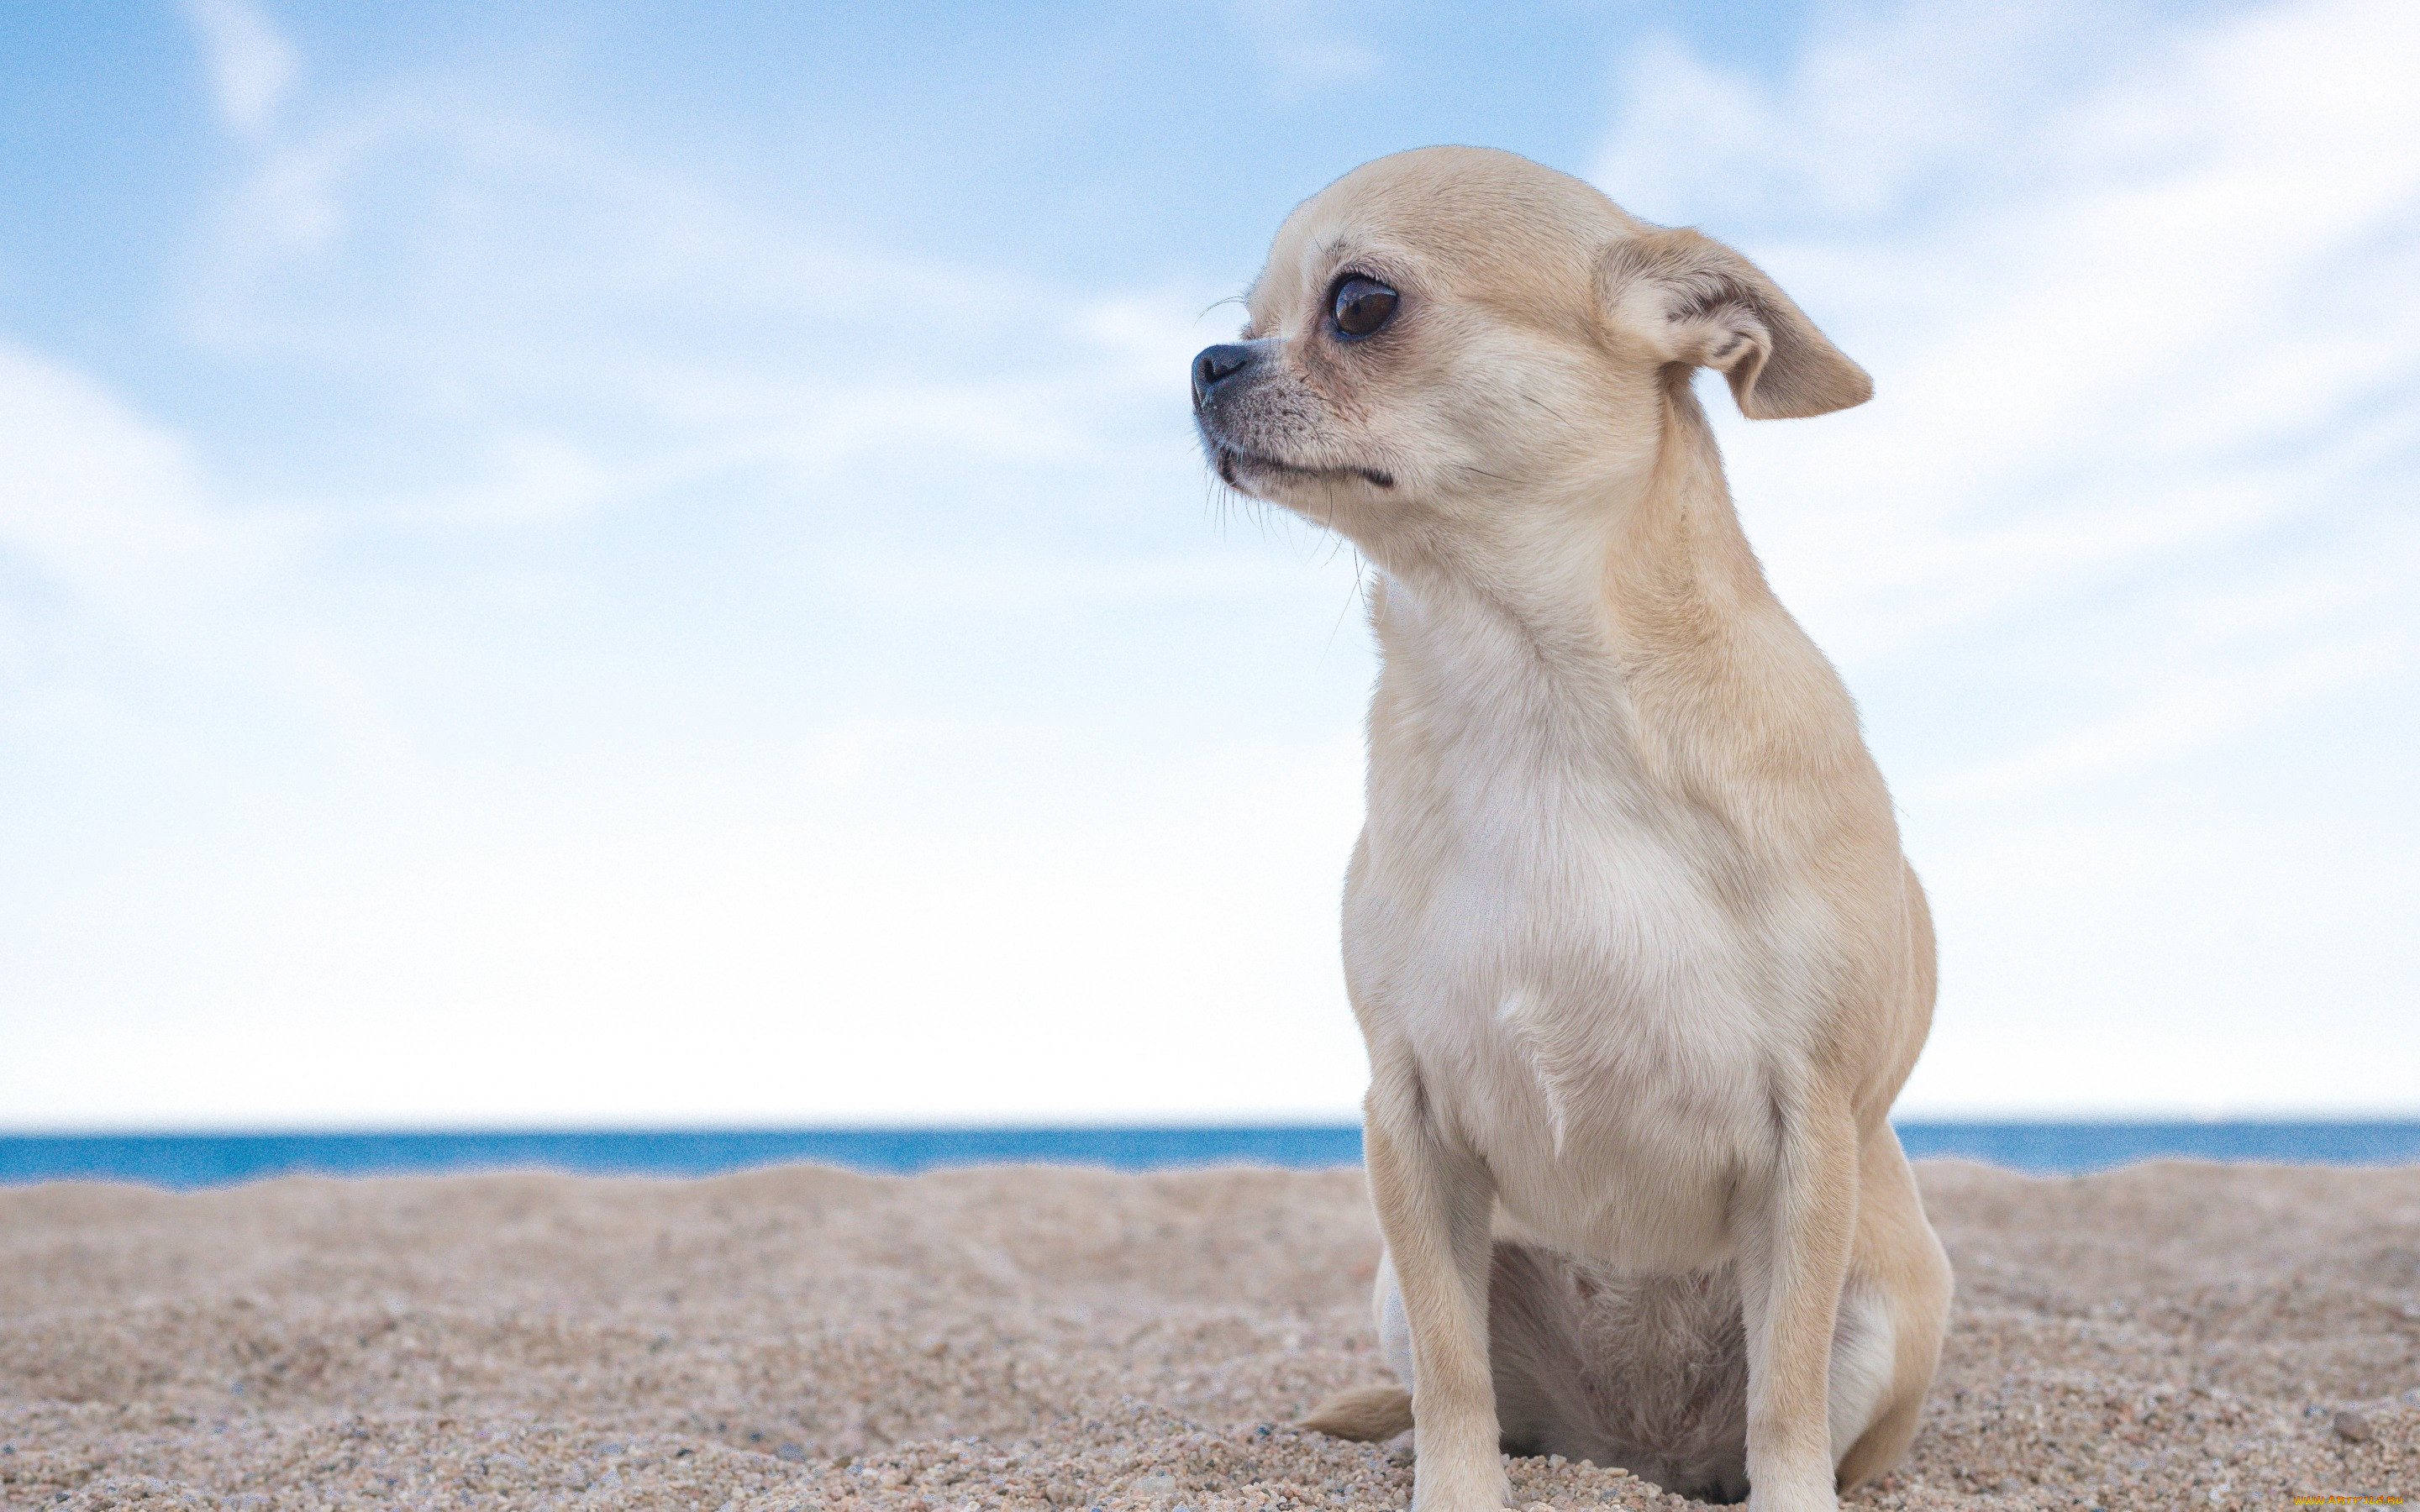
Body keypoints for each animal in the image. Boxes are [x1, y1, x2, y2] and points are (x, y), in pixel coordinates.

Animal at [1200, 144, 1955, 1509]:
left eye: (1359, 306)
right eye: (1247, 320)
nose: (1206, 365)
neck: (1533, 691)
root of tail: (1635, 1454)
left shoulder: (1809, 1138)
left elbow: (1786, 1398)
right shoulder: (1410, 1129)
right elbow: (1454, 1378)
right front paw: (1451, 1490)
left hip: (1890, 1305)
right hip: (1408, 1287)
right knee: (1472, 1391)